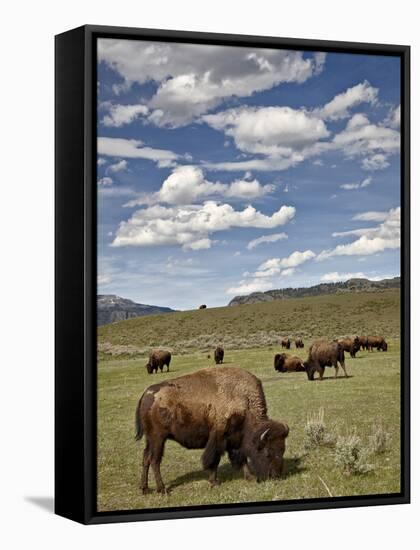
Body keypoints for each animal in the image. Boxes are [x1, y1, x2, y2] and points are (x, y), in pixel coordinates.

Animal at [135, 368, 288, 494]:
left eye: (282, 450)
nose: (276, 476)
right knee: (154, 460)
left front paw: (250, 477)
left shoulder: (235, 440)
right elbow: (214, 460)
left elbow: (241, 458)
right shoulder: (219, 438)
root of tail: (146, 394)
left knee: (146, 457)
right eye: (268, 453)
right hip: (158, 438)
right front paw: (214, 482)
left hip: (150, 439)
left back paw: (145, 489)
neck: (244, 400)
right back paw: (162, 489)